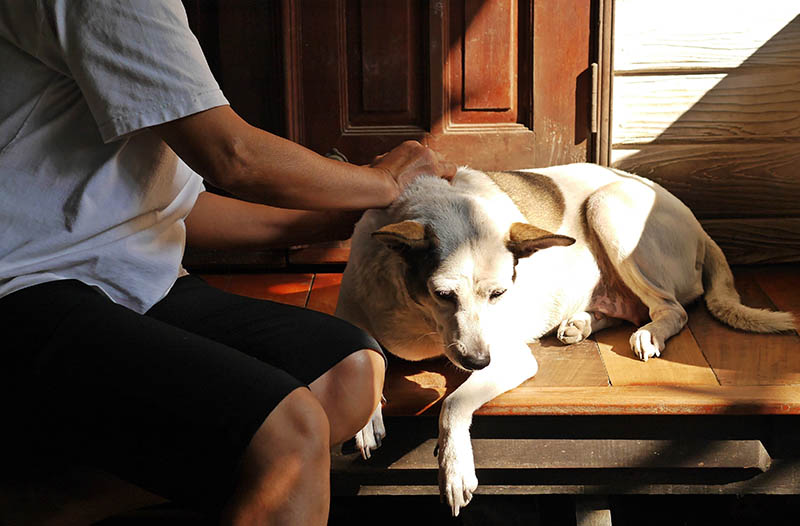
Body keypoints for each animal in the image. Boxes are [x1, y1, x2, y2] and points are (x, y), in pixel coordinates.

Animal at [334, 163, 796, 516]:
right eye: (443, 295)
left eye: (499, 293)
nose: (479, 363)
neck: (418, 321)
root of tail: (700, 227)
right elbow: (358, 352)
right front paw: (366, 416)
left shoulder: (511, 358)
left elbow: (452, 404)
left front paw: (454, 466)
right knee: (631, 307)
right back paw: (583, 323)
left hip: (607, 207)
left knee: (671, 308)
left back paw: (648, 333)